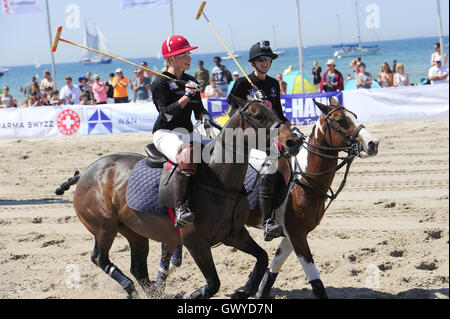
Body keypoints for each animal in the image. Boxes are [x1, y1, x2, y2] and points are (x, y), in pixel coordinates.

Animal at [57, 97, 302, 300]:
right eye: (258, 115)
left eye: (275, 112)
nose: (293, 141)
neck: (221, 182)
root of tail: (85, 173)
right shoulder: (195, 243)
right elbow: (213, 283)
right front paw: (193, 295)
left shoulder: (234, 234)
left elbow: (262, 258)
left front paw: (244, 290)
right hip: (104, 227)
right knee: (100, 258)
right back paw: (129, 287)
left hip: (135, 231)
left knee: (138, 268)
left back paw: (153, 291)